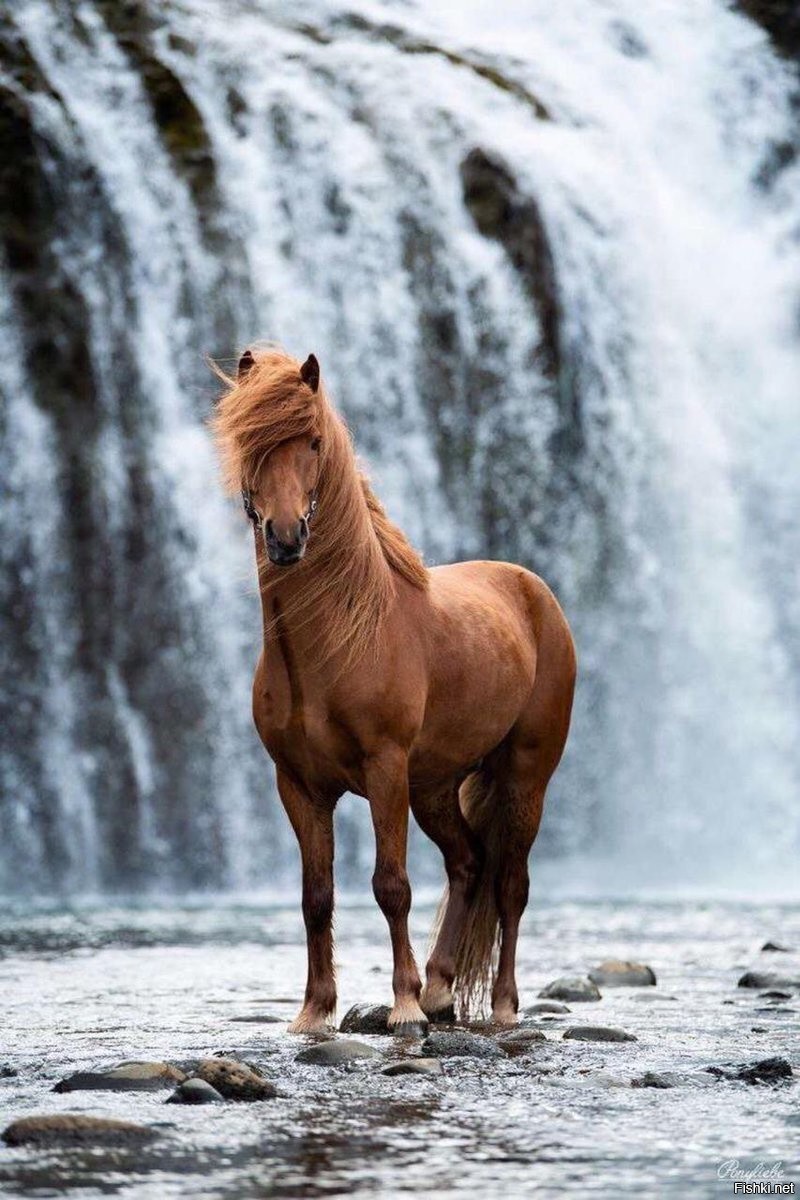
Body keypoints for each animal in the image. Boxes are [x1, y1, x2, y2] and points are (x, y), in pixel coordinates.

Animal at [212, 345, 575, 1032]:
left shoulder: (384, 770)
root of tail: (534, 590)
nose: (285, 537)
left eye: (313, 442)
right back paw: (440, 989)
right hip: (433, 787)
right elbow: (316, 895)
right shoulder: (298, 785)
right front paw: (314, 1011)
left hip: (524, 776)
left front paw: (402, 1006)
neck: (338, 642)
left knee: (510, 885)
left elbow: (391, 885)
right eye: (249, 443)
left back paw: (501, 1006)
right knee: (468, 864)